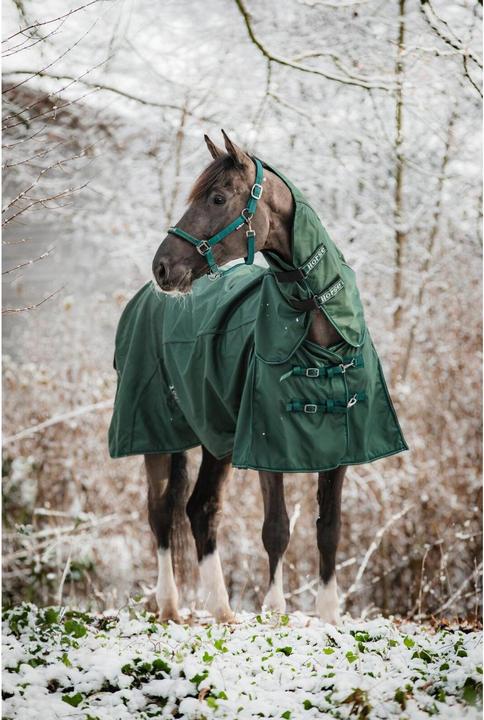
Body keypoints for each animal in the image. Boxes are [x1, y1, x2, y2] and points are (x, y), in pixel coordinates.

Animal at [110, 130, 407, 624]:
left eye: (217, 197)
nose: (162, 268)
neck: (320, 339)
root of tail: (146, 298)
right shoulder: (268, 445)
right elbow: (277, 529)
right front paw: (275, 611)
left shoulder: (341, 449)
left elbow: (330, 528)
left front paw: (328, 617)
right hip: (157, 432)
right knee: (160, 510)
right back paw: (171, 605)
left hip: (217, 438)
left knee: (200, 508)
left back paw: (222, 610)